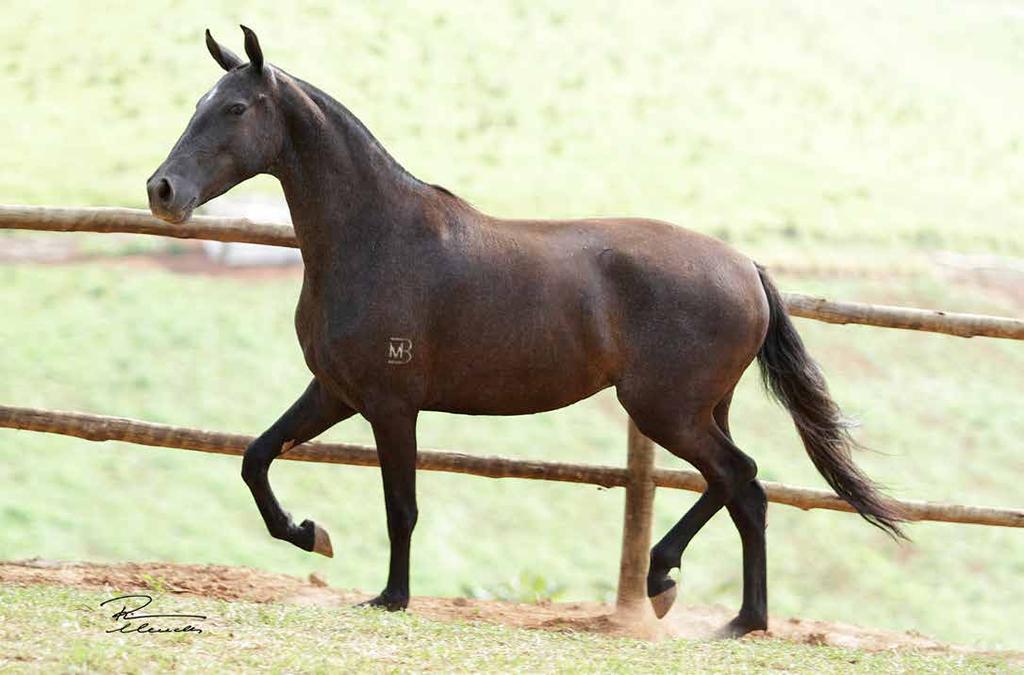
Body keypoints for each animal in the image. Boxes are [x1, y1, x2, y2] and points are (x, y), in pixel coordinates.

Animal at [148, 27, 901, 639]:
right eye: (195, 104)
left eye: (235, 109)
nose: (163, 191)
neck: (377, 238)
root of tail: (746, 267)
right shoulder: (334, 391)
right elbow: (256, 457)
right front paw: (310, 534)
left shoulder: (391, 404)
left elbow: (400, 505)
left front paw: (391, 598)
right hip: (697, 407)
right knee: (740, 488)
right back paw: (718, 607)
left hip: (665, 408)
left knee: (740, 478)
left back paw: (698, 599)